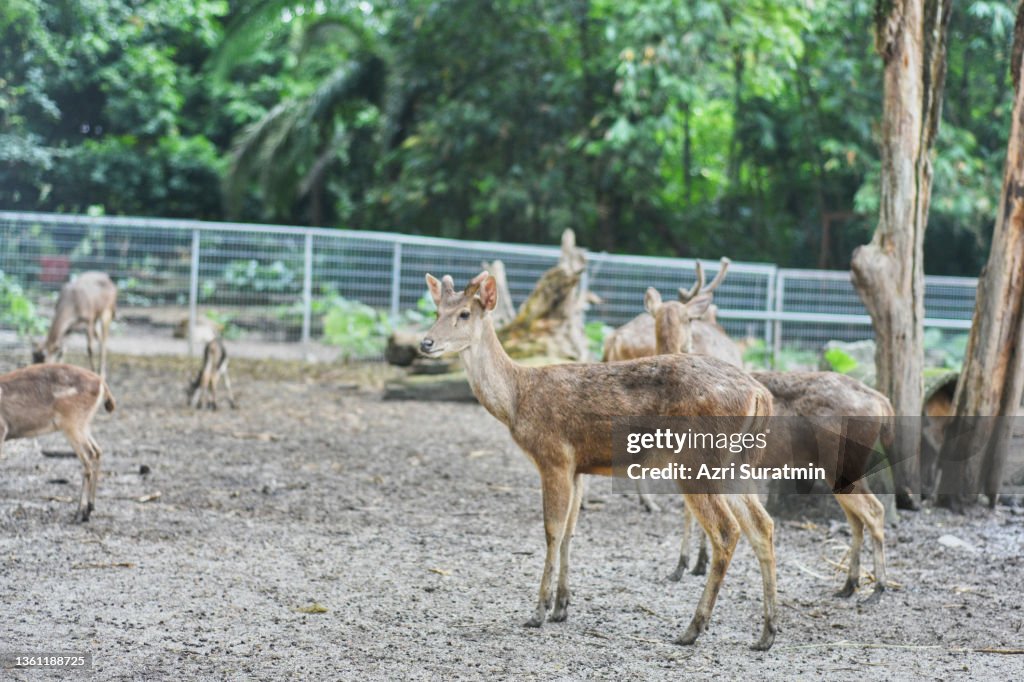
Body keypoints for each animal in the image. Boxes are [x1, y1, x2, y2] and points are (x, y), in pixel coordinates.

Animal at [0, 364, 116, 522]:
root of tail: (102, 383)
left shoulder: (2, 429)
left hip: (72, 422)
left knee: (89, 457)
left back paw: (79, 513)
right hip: (83, 424)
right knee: (97, 450)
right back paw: (90, 508)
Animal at [419, 271, 780, 650]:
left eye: (464, 314)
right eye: (437, 310)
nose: (426, 343)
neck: (517, 400)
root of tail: (759, 394)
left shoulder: (553, 455)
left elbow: (552, 530)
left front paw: (538, 611)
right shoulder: (578, 467)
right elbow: (570, 531)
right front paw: (562, 606)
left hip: (697, 460)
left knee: (727, 530)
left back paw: (693, 628)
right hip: (736, 463)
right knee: (763, 525)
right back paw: (766, 633)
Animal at [644, 286, 892, 601]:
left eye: (690, 319)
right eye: (657, 319)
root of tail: (882, 401)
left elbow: (690, 512)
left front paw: (683, 566)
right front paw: (696, 564)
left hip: (842, 463)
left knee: (874, 510)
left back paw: (878, 587)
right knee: (857, 519)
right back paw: (849, 585)